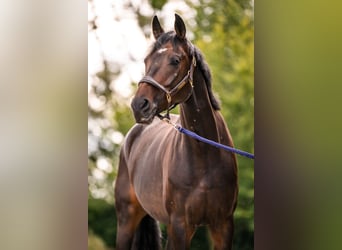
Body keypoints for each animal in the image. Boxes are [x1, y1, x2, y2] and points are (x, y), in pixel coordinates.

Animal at [115, 14, 238, 250]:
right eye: (146, 61)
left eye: (175, 60)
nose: (139, 106)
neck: (206, 156)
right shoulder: (180, 226)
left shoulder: (223, 226)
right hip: (126, 219)